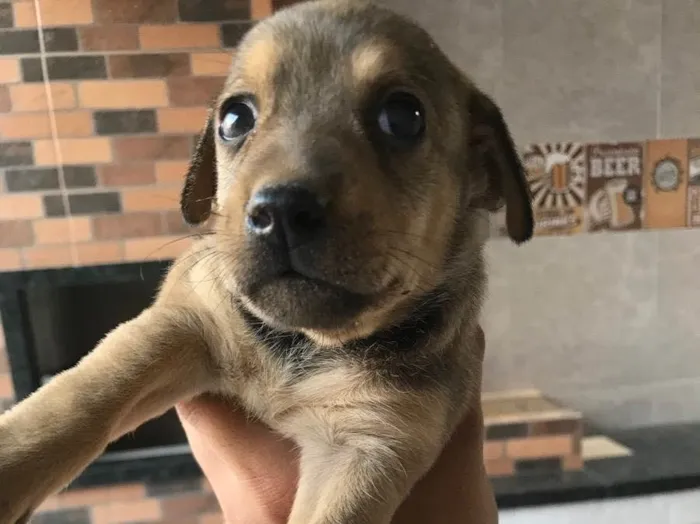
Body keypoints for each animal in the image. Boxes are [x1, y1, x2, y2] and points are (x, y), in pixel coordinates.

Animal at [0, 1, 532, 524]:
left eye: (402, 117)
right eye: (235, 118)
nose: (281, 211)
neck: (300, 344)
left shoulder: (376, 440)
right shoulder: (189, 315)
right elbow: (86, 392)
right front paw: (13, 463)